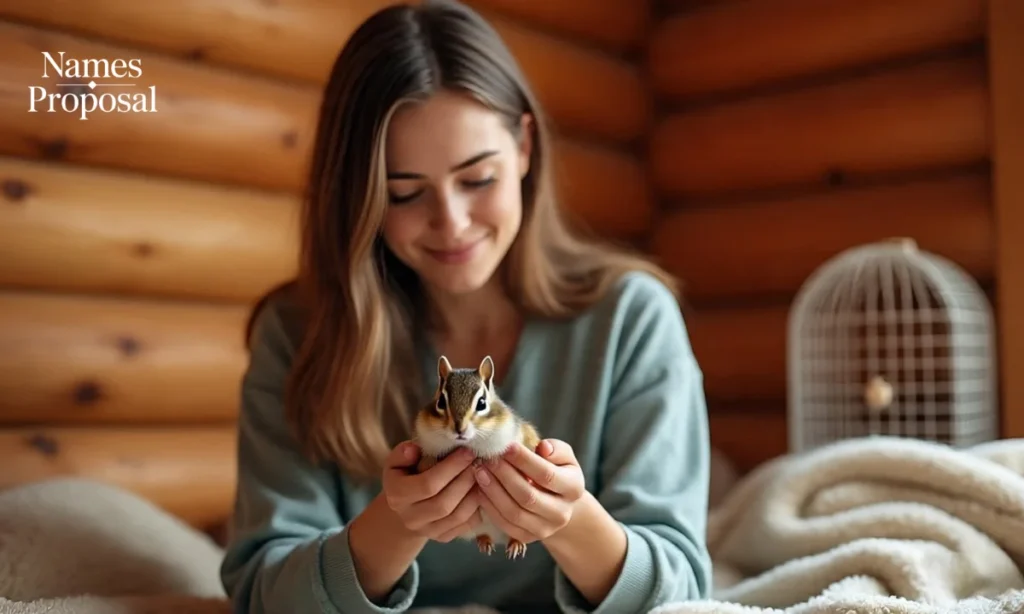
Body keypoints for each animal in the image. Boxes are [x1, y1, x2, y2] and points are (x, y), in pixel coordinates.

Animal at [413, 354, 541, 560]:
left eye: (482, 403)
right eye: (440, 402)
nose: (459, 429)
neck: (469, 445)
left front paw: (530, 479)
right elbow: (426, 462)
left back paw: (516, 544)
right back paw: (485, 541)